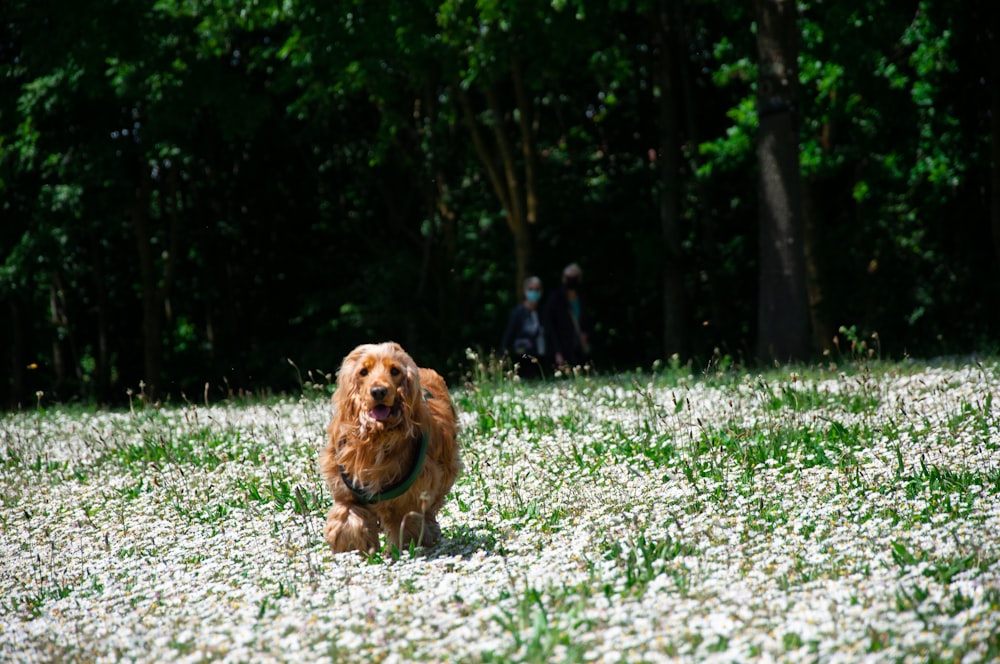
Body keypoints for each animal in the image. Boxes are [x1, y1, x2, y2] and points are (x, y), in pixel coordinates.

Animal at [318, 342, 462, 556]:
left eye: (394, 371)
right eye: (363, 372)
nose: (378, 391)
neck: (377, 435)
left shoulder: (411, 494)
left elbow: (406, 521)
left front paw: (407, 547)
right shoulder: (345, 487)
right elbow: (347, 517)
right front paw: (352, 548)